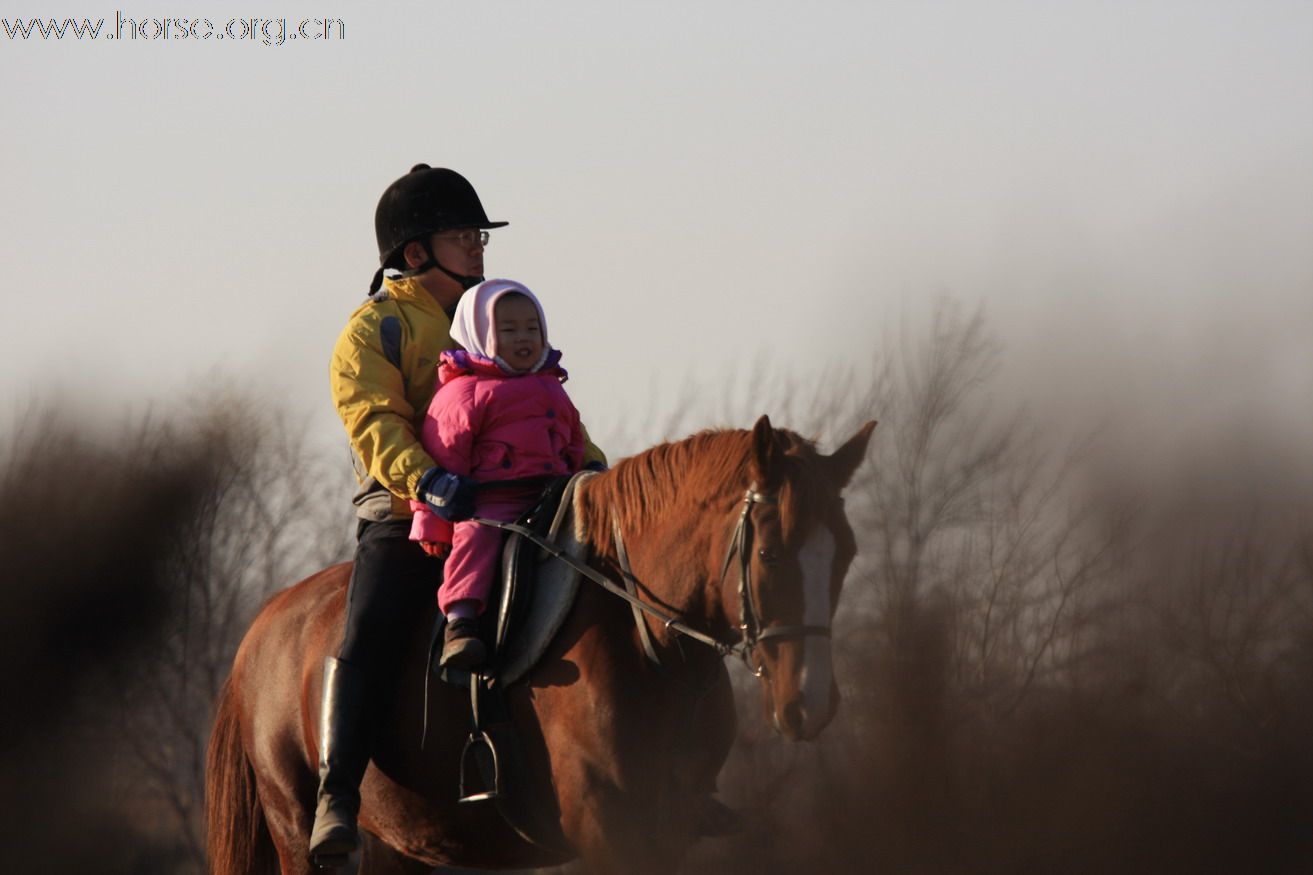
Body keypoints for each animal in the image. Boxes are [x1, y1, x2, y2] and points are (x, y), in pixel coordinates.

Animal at [207, 415, 871, 872]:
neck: (645, 640)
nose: (810, 702)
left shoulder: (670, 828)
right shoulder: (606, 825)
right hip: (298, 833)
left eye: (847, 553)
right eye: (770, 554)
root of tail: (260, 629)